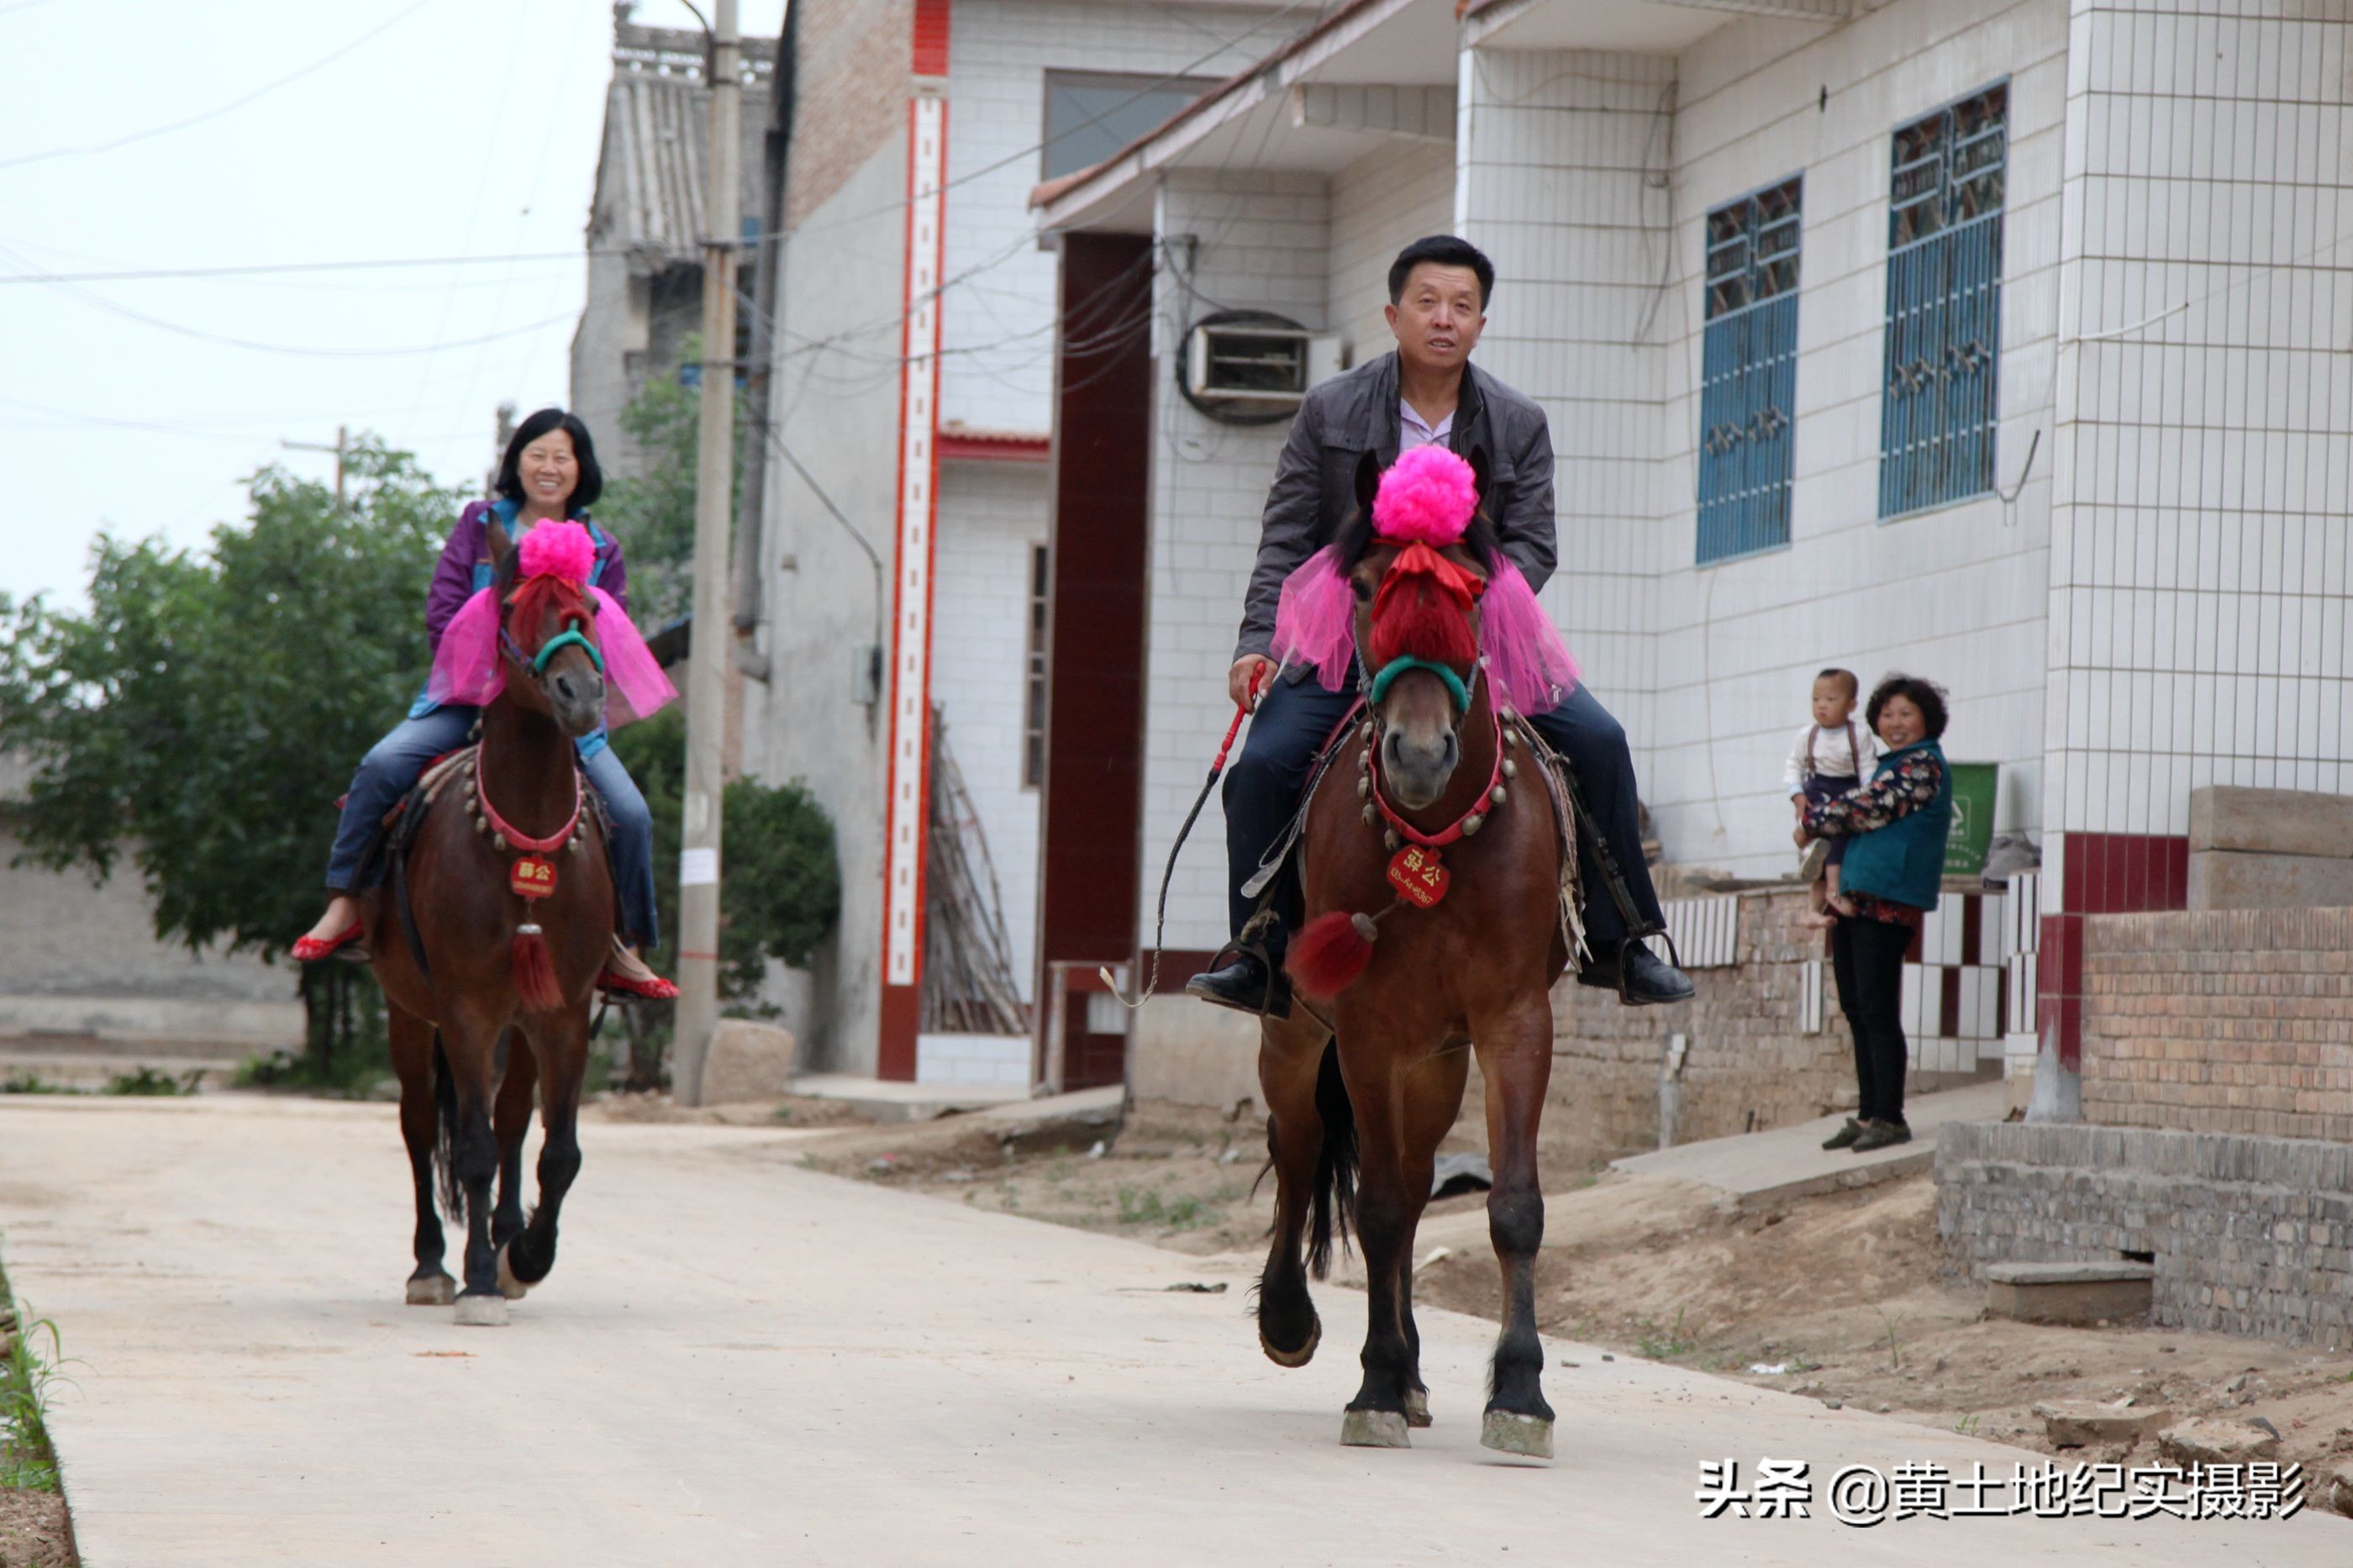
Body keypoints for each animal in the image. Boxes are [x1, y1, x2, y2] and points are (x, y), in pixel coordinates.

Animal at [357, 523, 616, 1318]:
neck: (524, 834)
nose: (578, 694)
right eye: (509, 605)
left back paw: (504, 1239)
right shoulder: (466, 1006)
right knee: (419, 1125)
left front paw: (525, 1256)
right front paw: (475, 1276)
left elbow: (557, 1151)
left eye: (593, 603)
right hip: (411, 1012)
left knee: (510, 1120)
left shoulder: (565, 1010)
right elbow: (467, 1148)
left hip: (523, 1021)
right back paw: (431, 1265)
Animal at [1261, 450, 1571, 1450]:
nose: (1422, 755)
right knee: (1299, 1145)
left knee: (1416, 1166)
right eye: (1362, 588)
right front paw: (1375, 1382)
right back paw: (1292, 1321)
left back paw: (1418, 1377)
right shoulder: (1362, 1028)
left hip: (1435, 1058)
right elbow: (1381, 1208)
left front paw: (1519, 1392)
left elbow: (1510, 1206)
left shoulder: (1513, 1021)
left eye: (1473, 591)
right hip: (1295, 1030)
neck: (1436, 835)